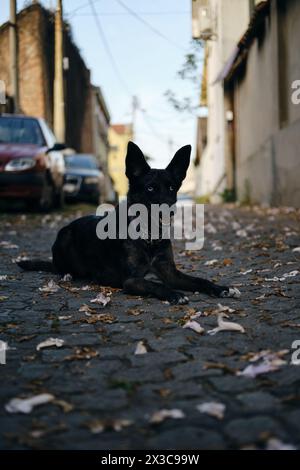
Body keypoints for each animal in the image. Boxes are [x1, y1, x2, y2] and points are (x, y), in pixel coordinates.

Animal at [18, 141, 241, 304]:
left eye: (171, 187)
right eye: (150, 188)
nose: (169, 209)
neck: (149, 234)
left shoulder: (171, 273)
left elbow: (198, 280)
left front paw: (220, 288)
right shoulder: (131, 280)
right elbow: (156, 285)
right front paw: (175, 294)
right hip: (65, 237)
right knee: (61, 267)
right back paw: (67, 274)